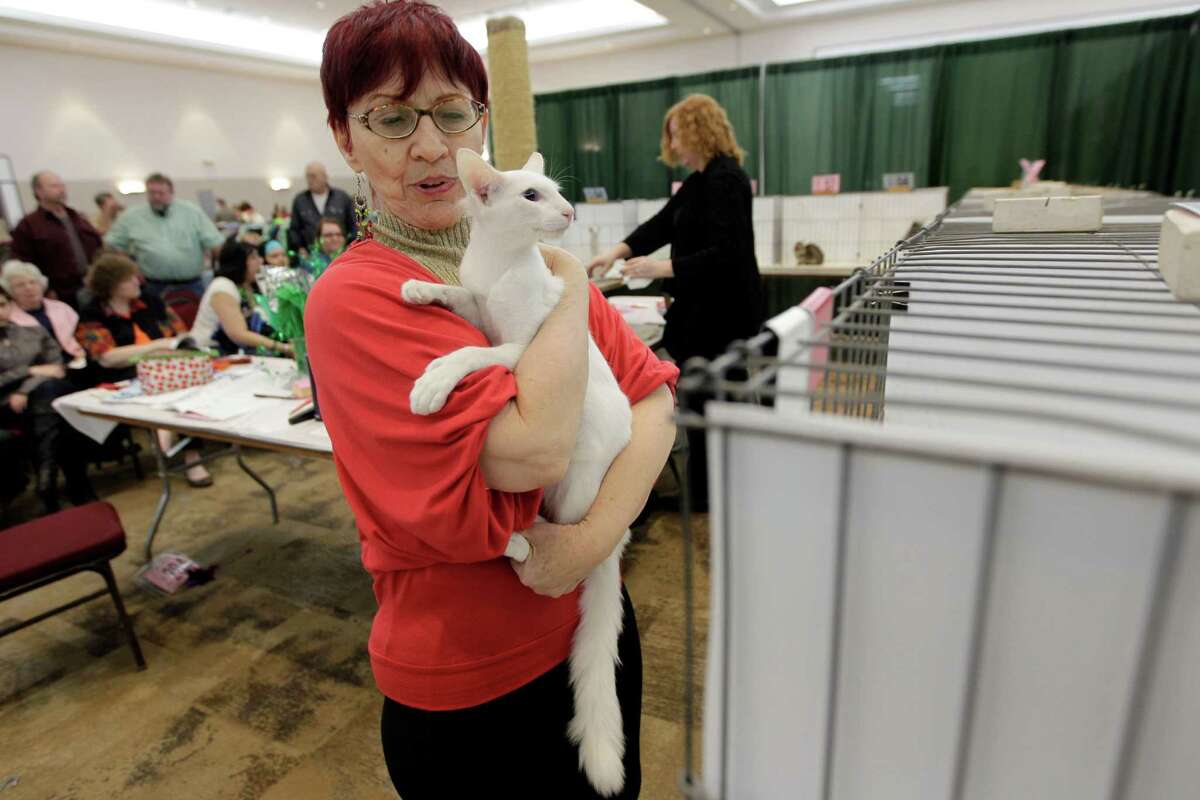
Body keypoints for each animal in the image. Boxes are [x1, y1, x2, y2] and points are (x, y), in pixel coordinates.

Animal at [400, 148, 638, 796]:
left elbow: (470, 353)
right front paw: (419, 286)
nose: (570, 211)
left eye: (557, 192)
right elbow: (459, 297)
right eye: (533, 195)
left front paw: (433, 380)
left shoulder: (519, 352)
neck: (502, 263)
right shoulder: (480, 307)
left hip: (575, 485)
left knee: (551, 530)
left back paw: (516, 542)